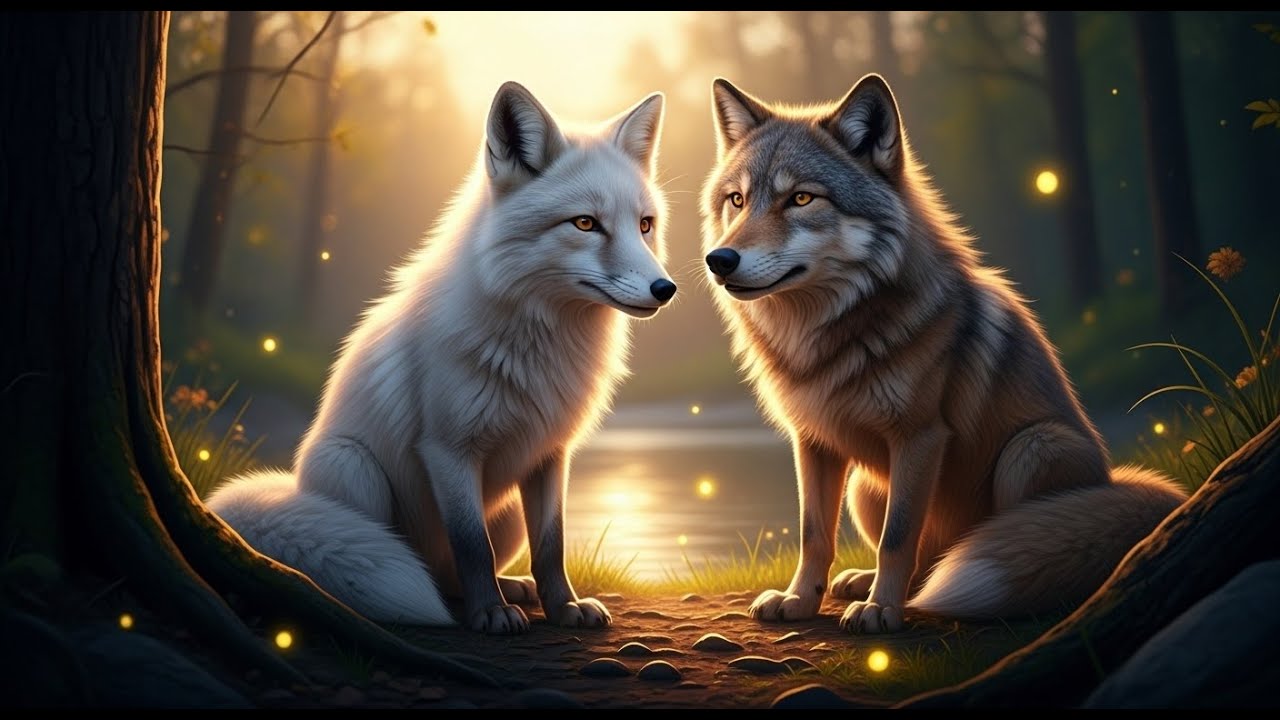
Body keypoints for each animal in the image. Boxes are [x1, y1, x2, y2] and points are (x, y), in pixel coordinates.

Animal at [207, 82, 676, 634]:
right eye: (585, 223)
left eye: (644, 225)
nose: (665, 289)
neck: (538, 346)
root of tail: (294, 484)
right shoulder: (448, 451)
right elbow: (472, 545)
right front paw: (490, 613)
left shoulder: (550, 455)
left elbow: (551, 546)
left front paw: (563, 608)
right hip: (353, 470)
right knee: (416, 561)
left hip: (506, 516)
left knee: (451, 573)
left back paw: (510, 588)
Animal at [699, 73, 1187, 634]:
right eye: (737, 200)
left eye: (801, 198)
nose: (719, 259)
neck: (825, 337)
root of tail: (1112, 479)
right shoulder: (813, 443)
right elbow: (813, 535)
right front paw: (800, 601)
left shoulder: (921, 437)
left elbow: (897, 539)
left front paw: (882, 611)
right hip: (865, 487)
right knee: (928, 559)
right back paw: (865, 582)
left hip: (1033, 449)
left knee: (981, 545)